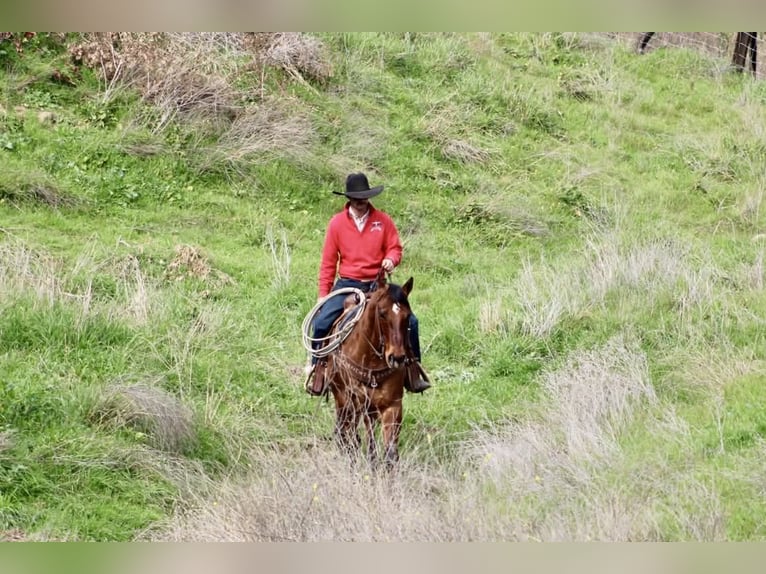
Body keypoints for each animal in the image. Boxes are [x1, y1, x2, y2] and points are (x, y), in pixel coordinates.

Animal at [324, 270, 414, 468]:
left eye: (408, 316)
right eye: (382, 314)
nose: (397, 357)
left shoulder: (393, 405)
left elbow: (390, 453)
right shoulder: (363, 404)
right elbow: (369, 444)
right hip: (342, 396)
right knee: (345, 430)